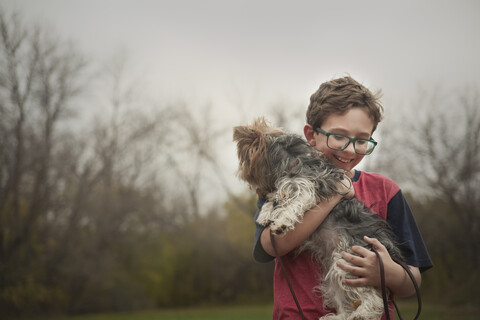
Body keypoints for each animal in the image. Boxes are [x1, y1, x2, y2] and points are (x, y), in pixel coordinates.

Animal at [231, 117, 404, 320]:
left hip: (351, 261)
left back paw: (360, 314)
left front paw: (281, 223)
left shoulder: (309, 187)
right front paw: (265, 215)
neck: (293, 161)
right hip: (334, 272)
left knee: (374, 298)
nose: (242, 173)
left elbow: (293, 204)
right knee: (343, 299)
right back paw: (337, 317)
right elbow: (275, 197)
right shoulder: (287, 187)